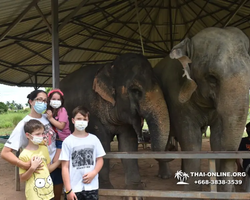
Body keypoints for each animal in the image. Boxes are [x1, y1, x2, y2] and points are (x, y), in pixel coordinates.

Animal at [59, 53, 171, 200]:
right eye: (135, 90)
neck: (110, 67)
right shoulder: (92, 115)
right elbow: (103, 145)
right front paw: (105, 190)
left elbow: (128, 146)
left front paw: (134, 194)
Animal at [153, 27, 250, 194]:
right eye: (212, 78)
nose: (231, 191)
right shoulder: (177, 98)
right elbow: (191, 141)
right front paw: (192, 192)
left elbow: (217, 139)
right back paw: (165, 176)